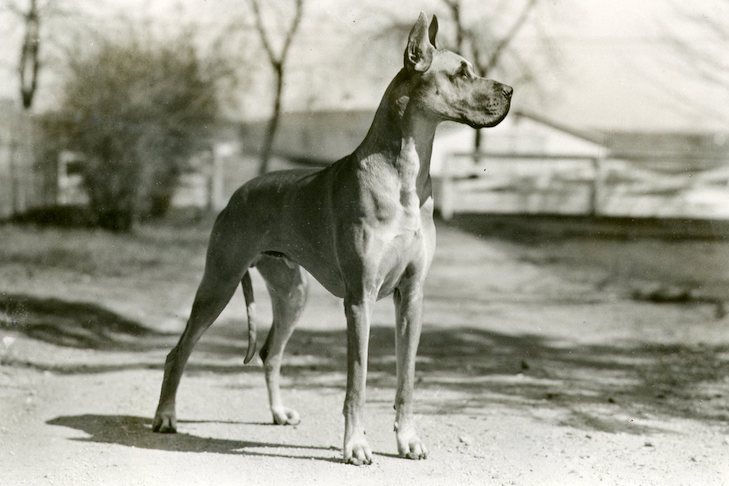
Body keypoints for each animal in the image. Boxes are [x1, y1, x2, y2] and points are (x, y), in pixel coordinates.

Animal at [151, 12, 510, 468]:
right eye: (461, 73)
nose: (510, 90)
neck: (404, 174)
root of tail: (236, 194)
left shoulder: (412, 295)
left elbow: (407, 378)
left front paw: (408, 440)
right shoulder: (360, 299)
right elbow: (357, 383)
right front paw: (355, 445)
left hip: (292, 293)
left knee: (270, 352)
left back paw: (278, 412)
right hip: (219, 282)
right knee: (178, 352)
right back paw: (165, 416)